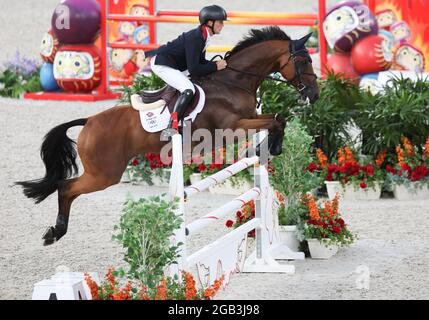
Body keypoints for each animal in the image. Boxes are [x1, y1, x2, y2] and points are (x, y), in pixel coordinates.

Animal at [16, 26, 318, 245]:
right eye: (303, 60)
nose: (314, 95)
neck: (233, 82)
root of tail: (89, 121)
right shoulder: (232, 128)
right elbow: (276, 120)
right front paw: (268, 148)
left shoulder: (251, 118)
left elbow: (278, 119)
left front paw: (266, 149)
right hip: (104, 174)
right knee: (66, 188)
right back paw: (55, 232)